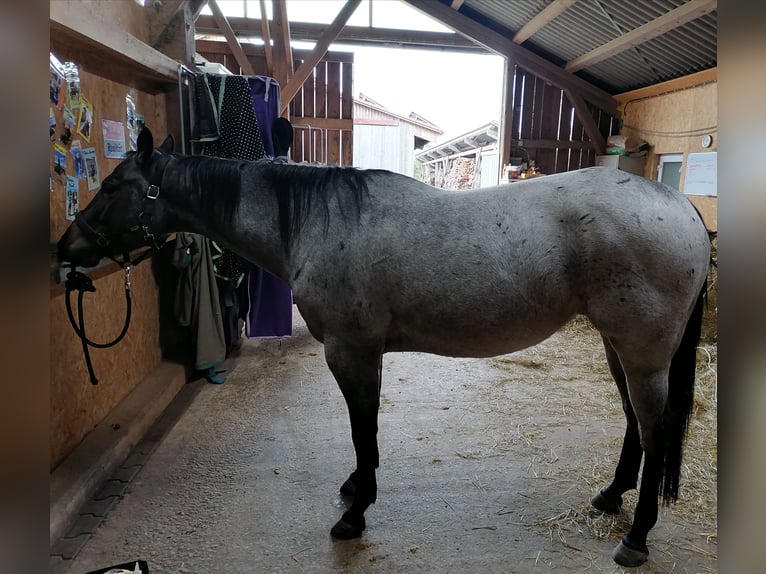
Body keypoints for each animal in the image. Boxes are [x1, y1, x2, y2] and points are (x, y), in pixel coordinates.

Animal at [57, 127, 710, 567]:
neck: (317, 220)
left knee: (654, 429)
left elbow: (362, 427)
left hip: (641, 352)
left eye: (114, 187)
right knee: (635, 423)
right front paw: (355, 490)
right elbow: (363, 432)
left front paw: (354, 513)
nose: (66, 248)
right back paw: (610, 497)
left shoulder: (350, 352)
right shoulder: (361, 354)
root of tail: (682, 209)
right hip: (618, 346)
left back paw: (636, 537)